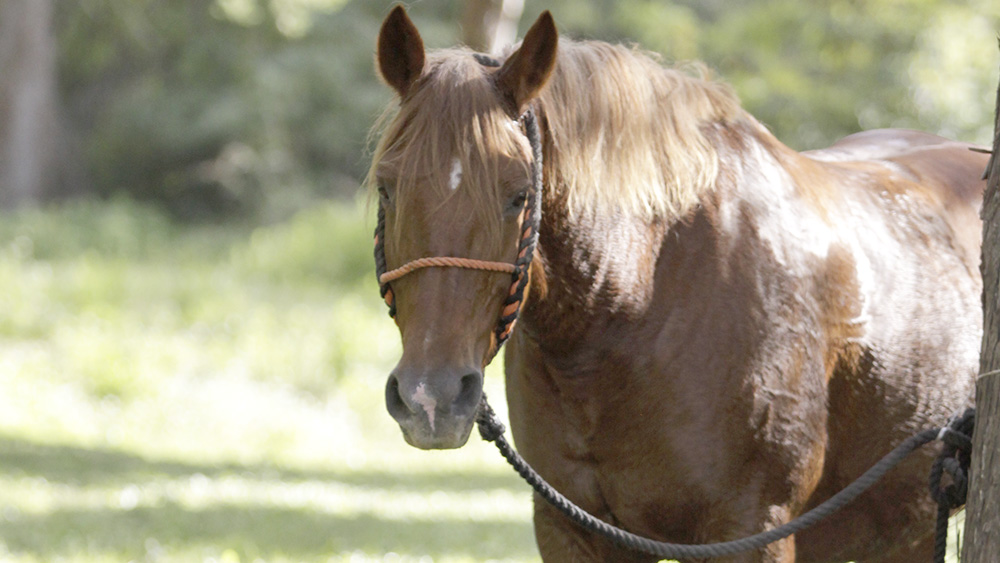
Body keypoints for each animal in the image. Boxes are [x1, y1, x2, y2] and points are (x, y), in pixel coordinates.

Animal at [367, 6, 987, 562]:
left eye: (519, 193)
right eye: (387, 187)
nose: (431, 398)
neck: (638, 304)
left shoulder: (751, 529)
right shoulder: (573, 529)